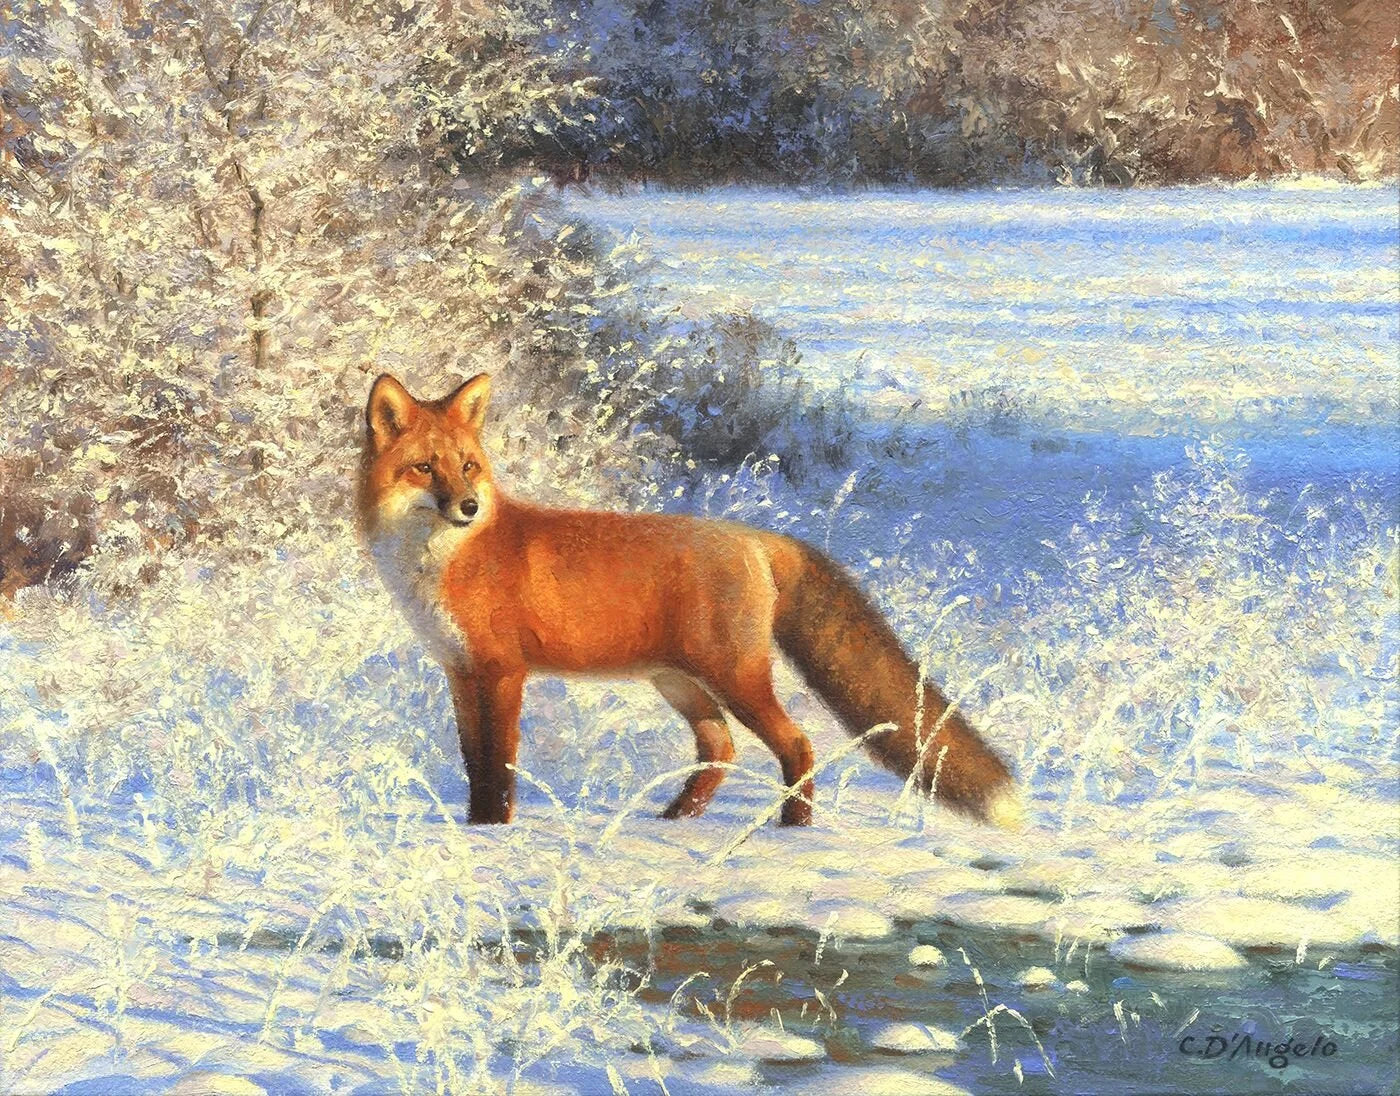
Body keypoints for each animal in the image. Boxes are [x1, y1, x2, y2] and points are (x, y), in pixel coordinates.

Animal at [357, 374, 1021, 830]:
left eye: (469, 467)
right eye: (425, 468)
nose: (468, 507)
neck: (442, 562)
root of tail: (753, 537)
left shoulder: (502, 672)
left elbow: (499, 766)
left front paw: (495, 831)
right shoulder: (460, 671)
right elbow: (474, 763)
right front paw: (476, 828)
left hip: (733, 676)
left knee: (797, 743)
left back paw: (794, 829)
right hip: (681, 683)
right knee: (720, 750)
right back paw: (677, 820)